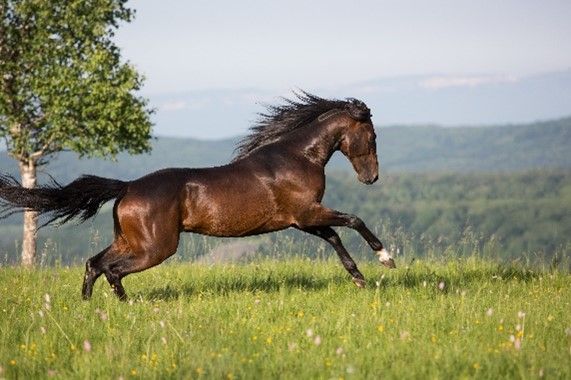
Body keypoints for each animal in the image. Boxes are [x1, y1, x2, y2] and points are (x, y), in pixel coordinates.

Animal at [0, 92, 396, 300]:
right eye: (373, 136)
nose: (372, 177)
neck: (297, 157)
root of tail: (127, 187)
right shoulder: (307, 212)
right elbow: (353, 221)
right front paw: (386, 259)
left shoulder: (301, 219)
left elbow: (334, 236)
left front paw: (359, 277)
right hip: (156, 248)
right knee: (111, 270)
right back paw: (125, 306)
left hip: (131, 241)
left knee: (94, 264)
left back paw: (89, 306)